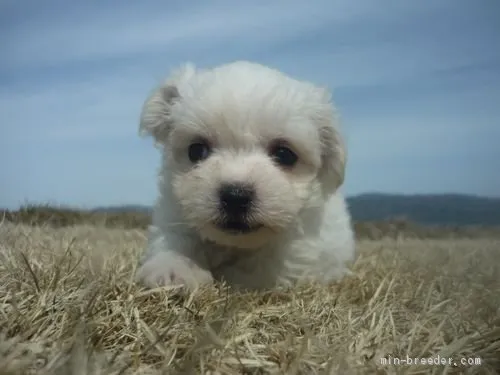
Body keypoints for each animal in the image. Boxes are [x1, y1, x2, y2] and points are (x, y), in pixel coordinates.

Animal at [136, 61, 356, 290]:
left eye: (285, 155)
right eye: (196, 150)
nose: (235, 196)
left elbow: (265, 268)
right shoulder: (174, 213)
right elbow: (174, 240)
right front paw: (174, 269)